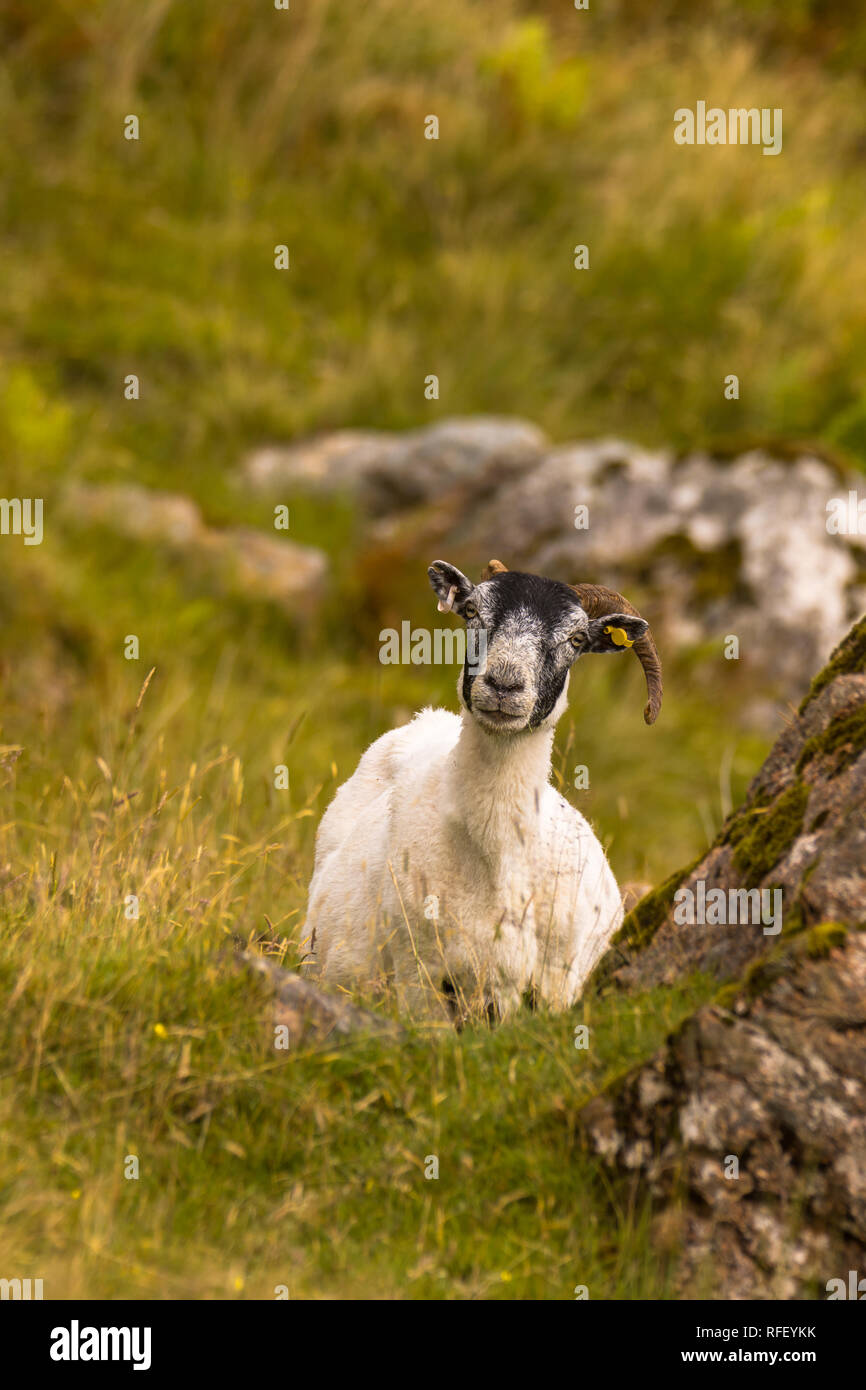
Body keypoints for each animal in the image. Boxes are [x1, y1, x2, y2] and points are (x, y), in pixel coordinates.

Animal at [303, 559, 662, 1021]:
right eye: (472, 612)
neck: (497, 857)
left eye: (577, 638)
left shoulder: (553, 987)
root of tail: (428, 718)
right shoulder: (419, 975)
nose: (504, 685)